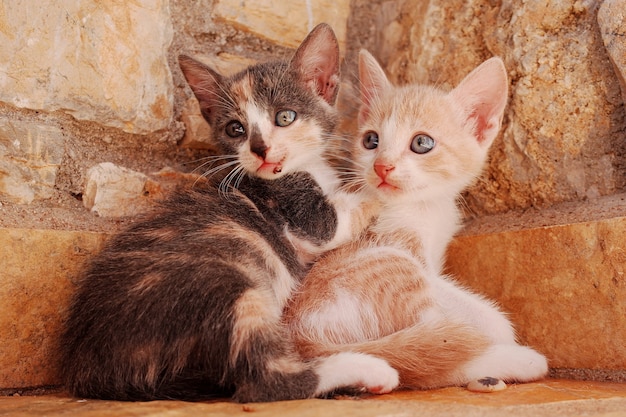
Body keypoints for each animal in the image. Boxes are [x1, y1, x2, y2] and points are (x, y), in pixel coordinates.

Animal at [58, 23, 394, 404]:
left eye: (285, 117)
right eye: (236, 129)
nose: (259, 148)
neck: (303, 167)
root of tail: (90, 366)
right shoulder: (306, 215)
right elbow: (340, 216)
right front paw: (388, 184)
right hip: (229, 284)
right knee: (267, 381)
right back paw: (367, 370)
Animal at [286, 50, 548, 388]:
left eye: (422, 143)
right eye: (371, 140)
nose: (382, 166)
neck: (423, 206)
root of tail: (299, 338)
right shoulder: (398, 244)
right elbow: (473, 314)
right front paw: (498, 329)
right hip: (390, 265)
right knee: (427, 355)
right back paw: (514, 360)